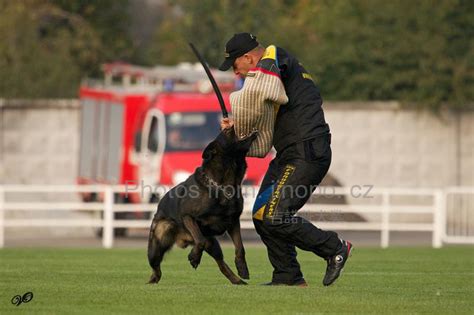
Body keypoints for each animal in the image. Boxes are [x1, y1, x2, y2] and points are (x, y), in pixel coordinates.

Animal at [148, 127, 260, 286]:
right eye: (227, 132)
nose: (230, 124)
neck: (222, 186)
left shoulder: (233, 222)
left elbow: (240, 247)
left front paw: (242, 268)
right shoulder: (188, 217)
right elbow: (200, 240)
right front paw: (194, 257)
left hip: (213, 245)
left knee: (221, 263)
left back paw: (236, 280)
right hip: (157, 244)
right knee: (156, 268)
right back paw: (153, 279)